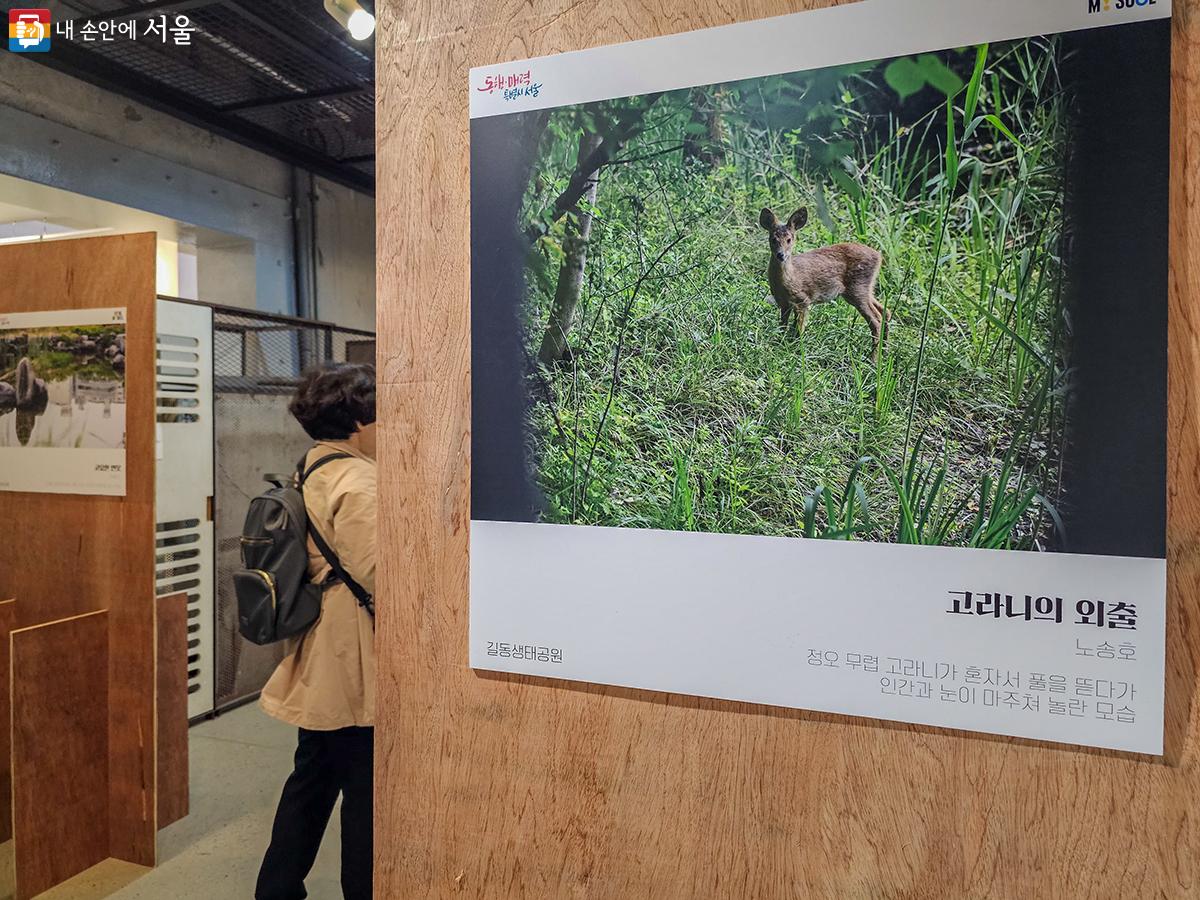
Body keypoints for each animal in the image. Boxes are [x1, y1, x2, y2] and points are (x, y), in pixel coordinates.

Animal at [763, 210, 888, 355]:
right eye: (773, 239)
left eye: (789, 239)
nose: (781, 255)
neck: (789, 279)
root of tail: (879, 256)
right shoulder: (783, 303)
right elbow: (783, 326)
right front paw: (780, 344)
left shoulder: (803, 300)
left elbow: (799, 329)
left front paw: (796, 350)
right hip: (863, 289)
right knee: (885, 311)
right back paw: (885, 351)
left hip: (858, 288)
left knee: (876, 320)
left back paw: (873, 358)